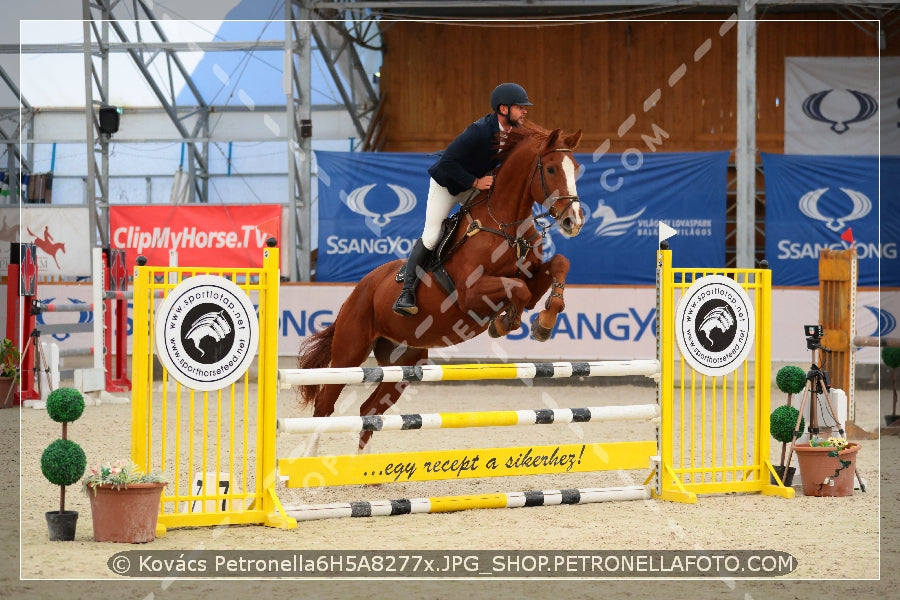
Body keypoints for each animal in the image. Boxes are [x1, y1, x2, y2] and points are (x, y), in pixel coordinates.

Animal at [298, 124, 588, 452]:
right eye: (551, 169)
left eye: (575, 168)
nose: (574, 221)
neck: (505, 227)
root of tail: (360, 289)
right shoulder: (470, 294)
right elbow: (518, 289)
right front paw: (505, 323)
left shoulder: (532, 276)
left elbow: (555, 266)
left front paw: (544, 322)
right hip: (349, 351)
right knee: (325, 405)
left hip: (404, 362)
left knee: (368, 410)